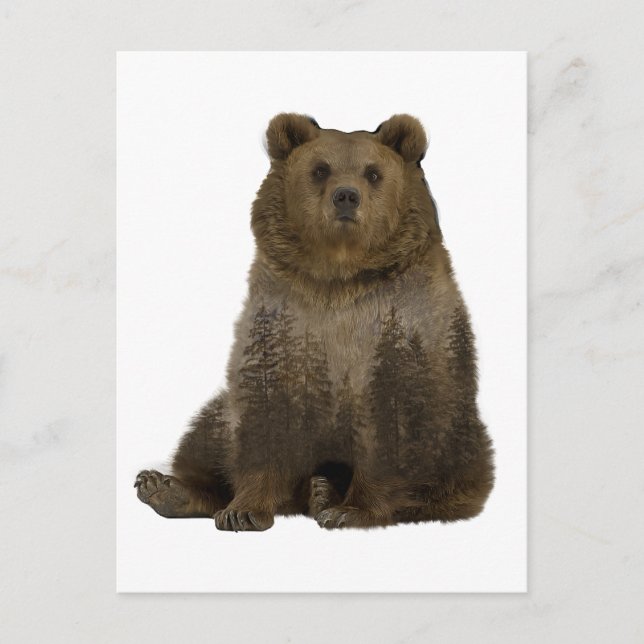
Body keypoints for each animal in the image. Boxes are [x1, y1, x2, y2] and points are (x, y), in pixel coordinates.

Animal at [134, 113, 494, 531]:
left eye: (373, 173)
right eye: (320, 169)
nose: (346, 196)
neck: (337, 275)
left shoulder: (403, 329)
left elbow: (391, 423)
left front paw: (351, 509)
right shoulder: (280, 323)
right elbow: (264, 412)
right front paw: (242, 510)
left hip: (460, 435)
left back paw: (326, 493)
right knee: (209, 430)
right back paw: (165, 488)